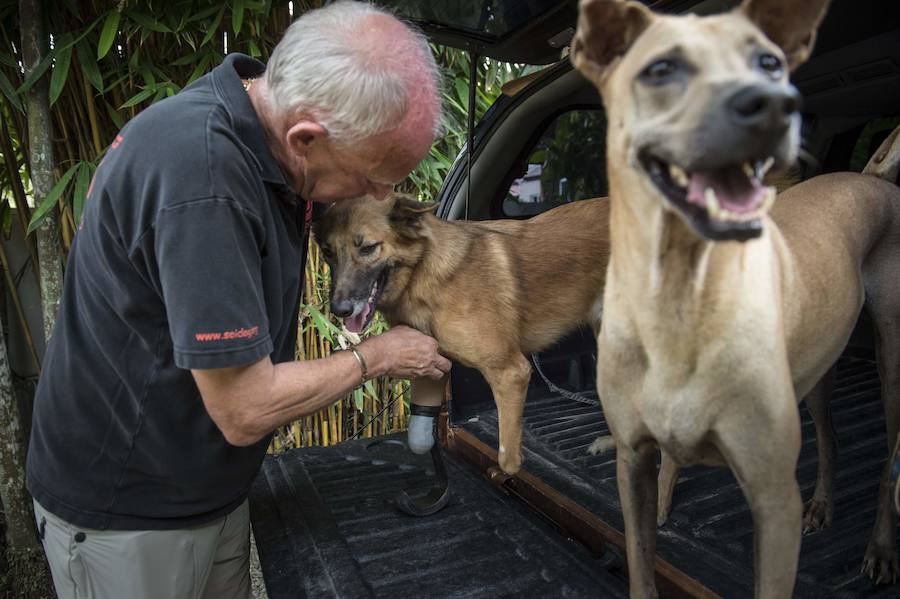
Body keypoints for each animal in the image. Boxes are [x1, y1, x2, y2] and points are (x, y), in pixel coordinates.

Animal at [314, 195, 612, 476]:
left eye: (367, 248)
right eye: (328, 252)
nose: (339, 309)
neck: (425, 273)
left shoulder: (511, 373)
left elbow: (506, 458)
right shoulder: (431, 362)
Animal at [572, 1, 900, 599]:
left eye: (769, 62)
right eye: (661, 68)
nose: (774, 105)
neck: (680, 301)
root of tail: (869, 177)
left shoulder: (772, 502)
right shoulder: (632, 463)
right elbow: (641, 562)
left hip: (890, 353)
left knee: (889, 458)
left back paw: (880, 550)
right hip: (818, 369)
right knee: (831, 438)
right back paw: (823, 504)